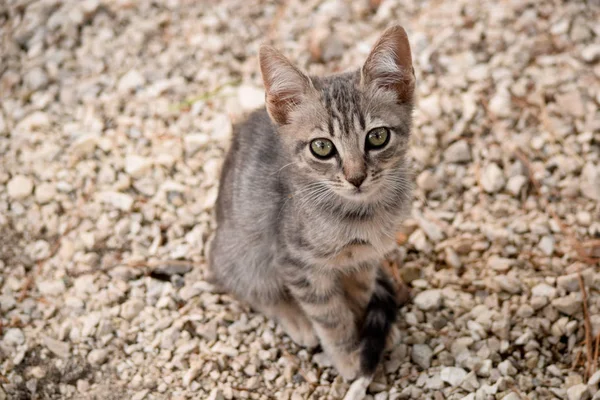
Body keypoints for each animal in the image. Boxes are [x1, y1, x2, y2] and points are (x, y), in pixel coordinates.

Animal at [209, 26, 414, 380]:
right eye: (322, 147)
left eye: (377, 137)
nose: (356, 177)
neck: (361, 216)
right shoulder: (298, 263)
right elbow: (330, 315)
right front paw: (348, 356)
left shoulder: (364, 258)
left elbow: (360, 294)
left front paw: (368, 327)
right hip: (244, 253)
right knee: (247, 286)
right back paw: (296, 319)